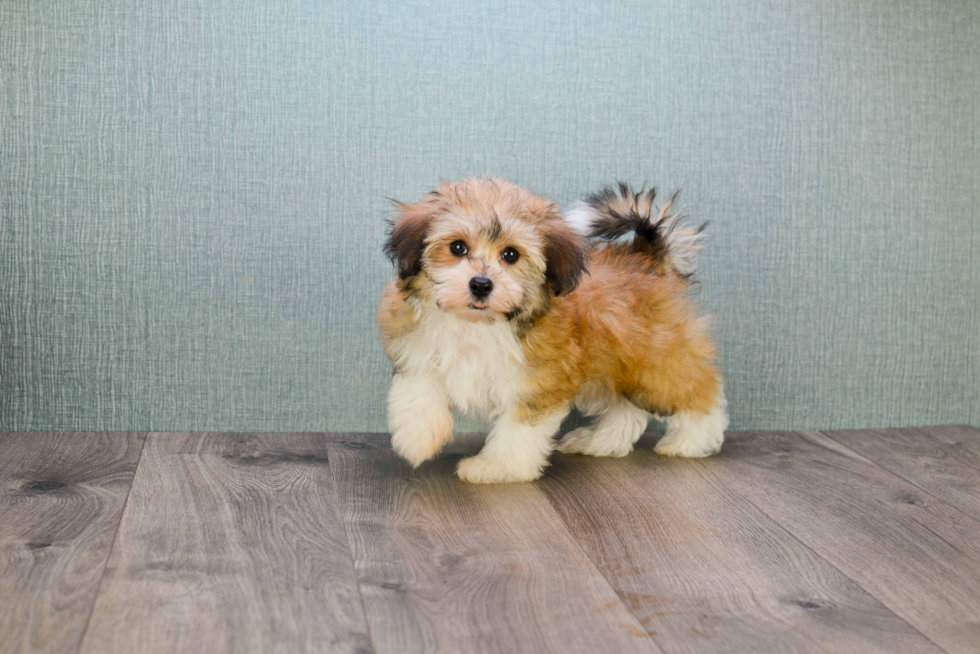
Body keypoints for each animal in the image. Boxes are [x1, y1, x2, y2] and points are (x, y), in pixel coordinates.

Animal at [378, 177, 728, 484]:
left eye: (510, 254)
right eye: (457, 247)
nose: (480, 284)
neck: (477, 325)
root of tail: (644, 257)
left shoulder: (540, 380)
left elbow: (518, 429)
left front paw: (498, 467)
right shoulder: (416, 346)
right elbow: (417, 387)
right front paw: (417, 437)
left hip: (654, 357)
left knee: (695, 390)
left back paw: (692, 441)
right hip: (611, 358)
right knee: (626, 407)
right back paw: (602, 441)